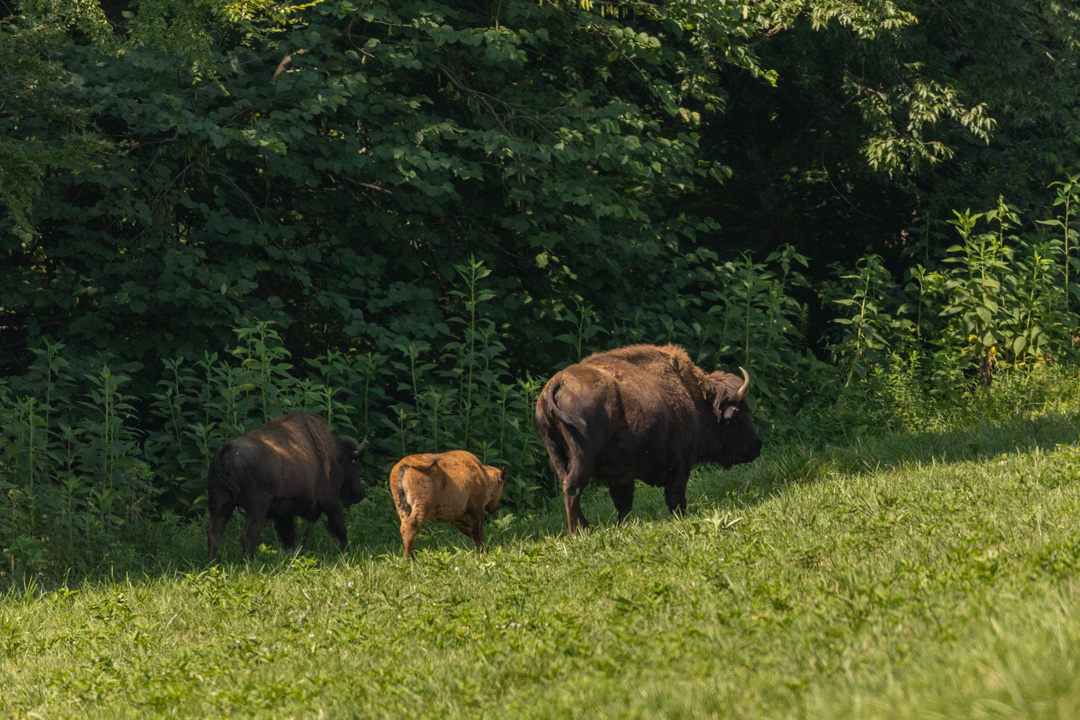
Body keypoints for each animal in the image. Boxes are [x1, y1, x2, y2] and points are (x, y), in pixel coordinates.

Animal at [206, 412, 368, 560]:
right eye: (357, 465)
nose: (360, 494)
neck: (334, 455)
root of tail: (226, 448)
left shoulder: (284, 514)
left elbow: (291, 539)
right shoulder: (331, 503)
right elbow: (341, 530)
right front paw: (347, 554)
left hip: (221, 505)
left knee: (214, 532)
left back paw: (214, 564)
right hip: (256, 509)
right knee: (248, 537)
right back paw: (251, 564)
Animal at [535, 344, 762, 535]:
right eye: (740, 413)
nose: (757, 446)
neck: (694, 398)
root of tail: (557, 383)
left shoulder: (621, 476)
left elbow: (624, 504)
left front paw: (622, 526)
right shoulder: (680, 464)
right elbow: (675, 496)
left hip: (557, 455)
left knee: (568, 486)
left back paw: (585, 527)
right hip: (583, 458)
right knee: (573, 488)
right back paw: (577, 532)